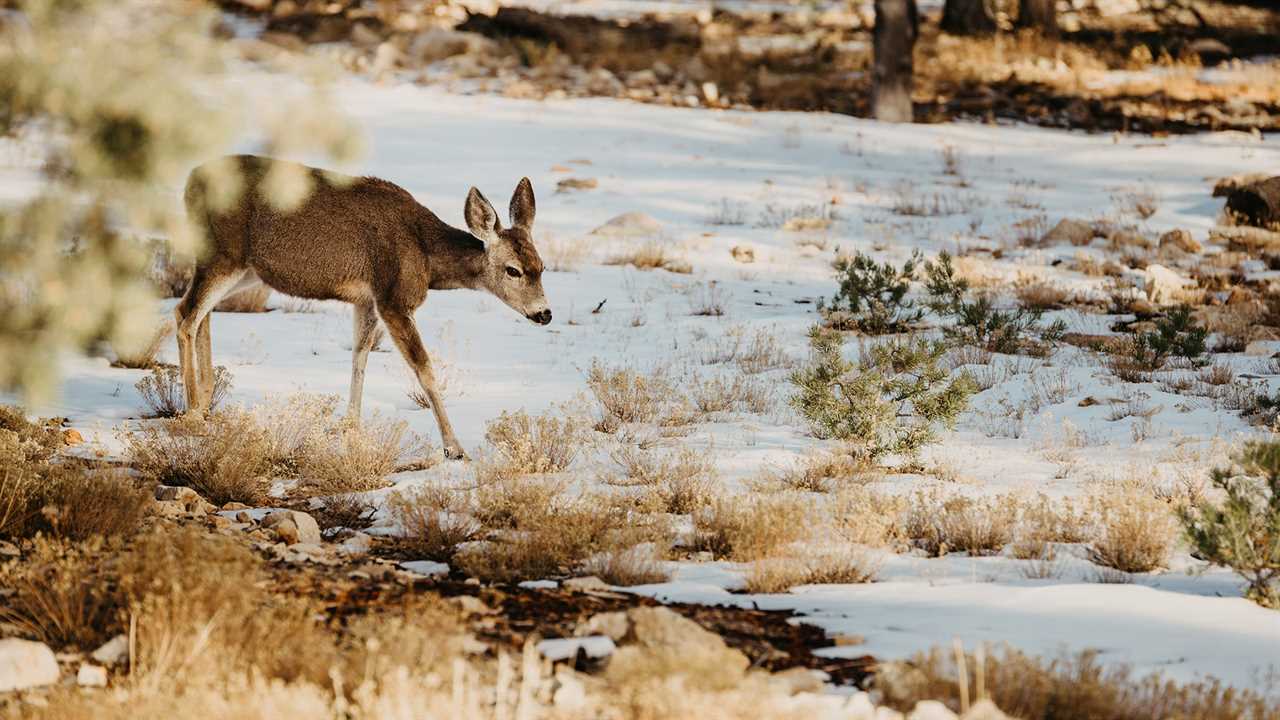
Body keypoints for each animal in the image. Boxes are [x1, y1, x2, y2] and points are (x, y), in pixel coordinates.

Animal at [175, 155, 550, 458]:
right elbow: (424, 368)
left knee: (200, 312)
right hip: (224, 254)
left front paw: (349, 427)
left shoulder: (366, 300)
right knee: (185, 315)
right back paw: (192, 413)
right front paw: (454, 447)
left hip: (247, 269)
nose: (544, 313)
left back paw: (206, 400)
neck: (427, 257)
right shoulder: (393, 298)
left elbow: (360, 356)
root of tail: (190, 179)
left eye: (542, 266)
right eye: (513, 270)